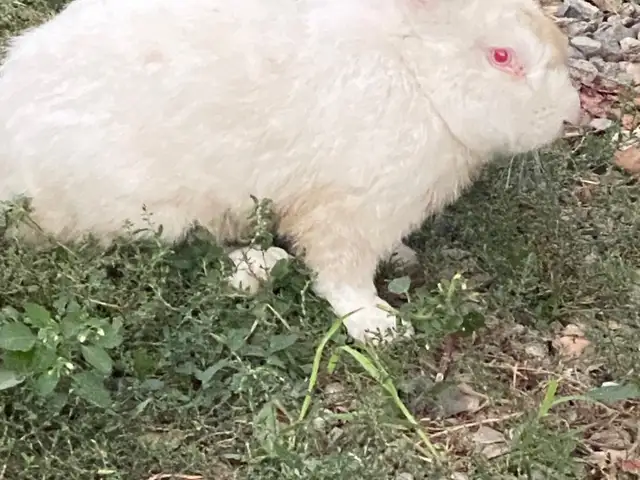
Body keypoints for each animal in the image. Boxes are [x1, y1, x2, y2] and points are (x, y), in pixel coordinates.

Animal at [0, 0, 581, 343]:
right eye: (502, 56)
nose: (570, 115)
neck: (415, 72)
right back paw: (258, 266)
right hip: (149, 209)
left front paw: (401, 257)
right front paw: (379, 327)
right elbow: (339, 275)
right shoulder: (348, 210)